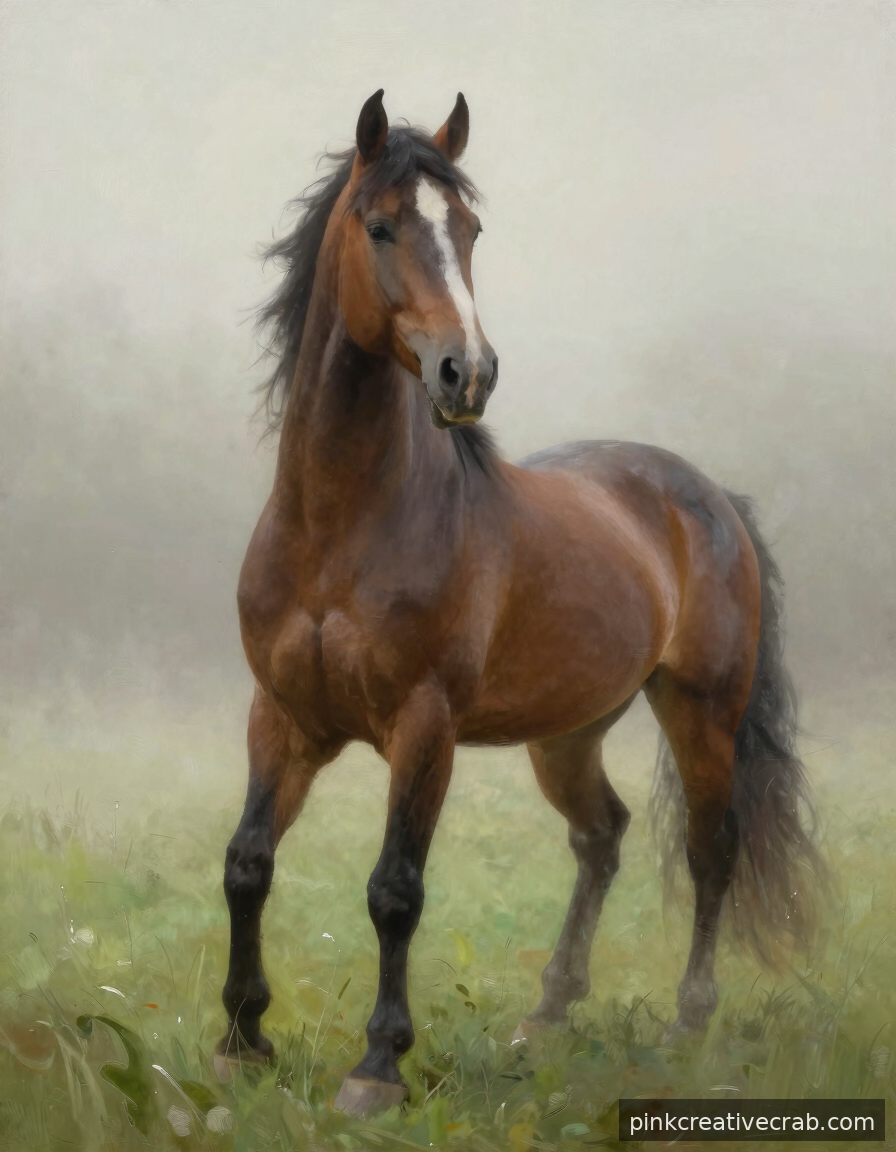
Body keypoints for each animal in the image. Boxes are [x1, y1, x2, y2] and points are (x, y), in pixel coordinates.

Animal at [217, 90, 821, 1116]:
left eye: (470, 229)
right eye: (380, 226)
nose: (469, 373)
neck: (339, 527)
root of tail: (709, 496)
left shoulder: (424, 726)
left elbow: (395, 890)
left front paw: (377, 1066)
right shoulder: (283, 716)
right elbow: (248, 863)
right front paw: (242, 1039)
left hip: (700, 711)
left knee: (711, 852)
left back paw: (685, 1024)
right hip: (568, 732)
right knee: (601, 835)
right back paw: (547, 1014)